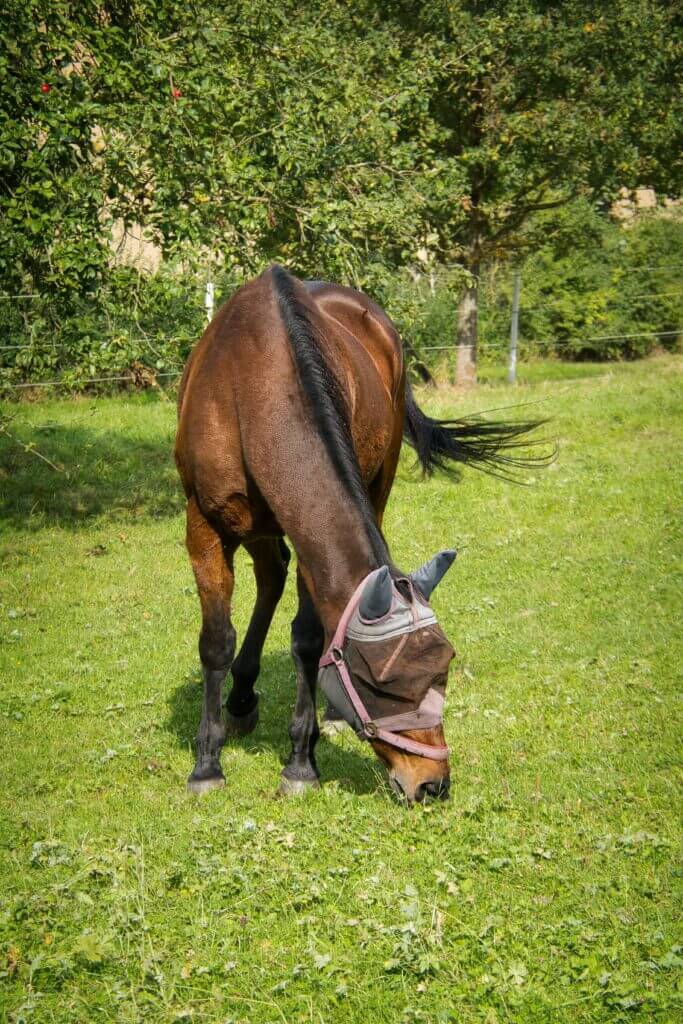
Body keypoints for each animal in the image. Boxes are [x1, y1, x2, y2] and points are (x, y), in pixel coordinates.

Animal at [174, 265, 545, 803]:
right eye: (381, 684)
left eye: (443, 670)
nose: (432, 783)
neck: (252, 381)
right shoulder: (204, 525)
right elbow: (216, 641)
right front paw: (206, 763)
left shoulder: (309, 534)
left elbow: (309, 639)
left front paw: (300, 762)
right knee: (270, 578)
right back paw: (240, 698)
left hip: (374, 482)